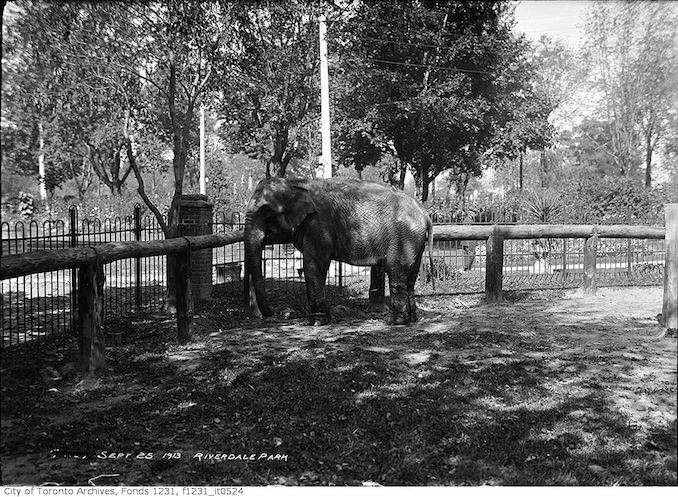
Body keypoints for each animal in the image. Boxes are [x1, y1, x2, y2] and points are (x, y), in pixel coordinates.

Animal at [244, 178, 436, 326]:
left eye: (267, 212)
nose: (272, 311)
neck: (294, 183)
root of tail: (425, 213)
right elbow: (318, 268)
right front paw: (324, 320)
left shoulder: (318, 225)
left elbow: (312, 264)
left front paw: (316, 323)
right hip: (415, 240)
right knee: (410, 276)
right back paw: (412, 319)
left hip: (403, 237)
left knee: (396, 270)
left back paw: (395, 322)